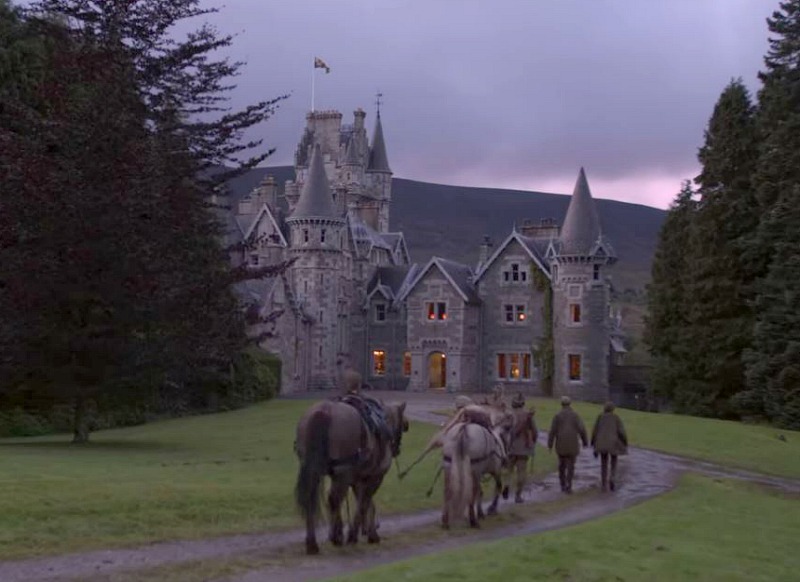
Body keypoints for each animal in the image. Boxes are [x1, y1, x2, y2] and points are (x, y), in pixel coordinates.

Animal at [292, 396, 406, 556]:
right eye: (403, 426)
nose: (397, 449)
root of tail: (323, 411)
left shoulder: (354, 480)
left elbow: (363, 503)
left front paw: (364, 532)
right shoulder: (374, 478)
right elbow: (364, 503)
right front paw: (355, 535)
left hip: (315, 471)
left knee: (316, 499)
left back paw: (313, 543)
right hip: (342, 473)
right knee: (334, 499)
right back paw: (337, 538)